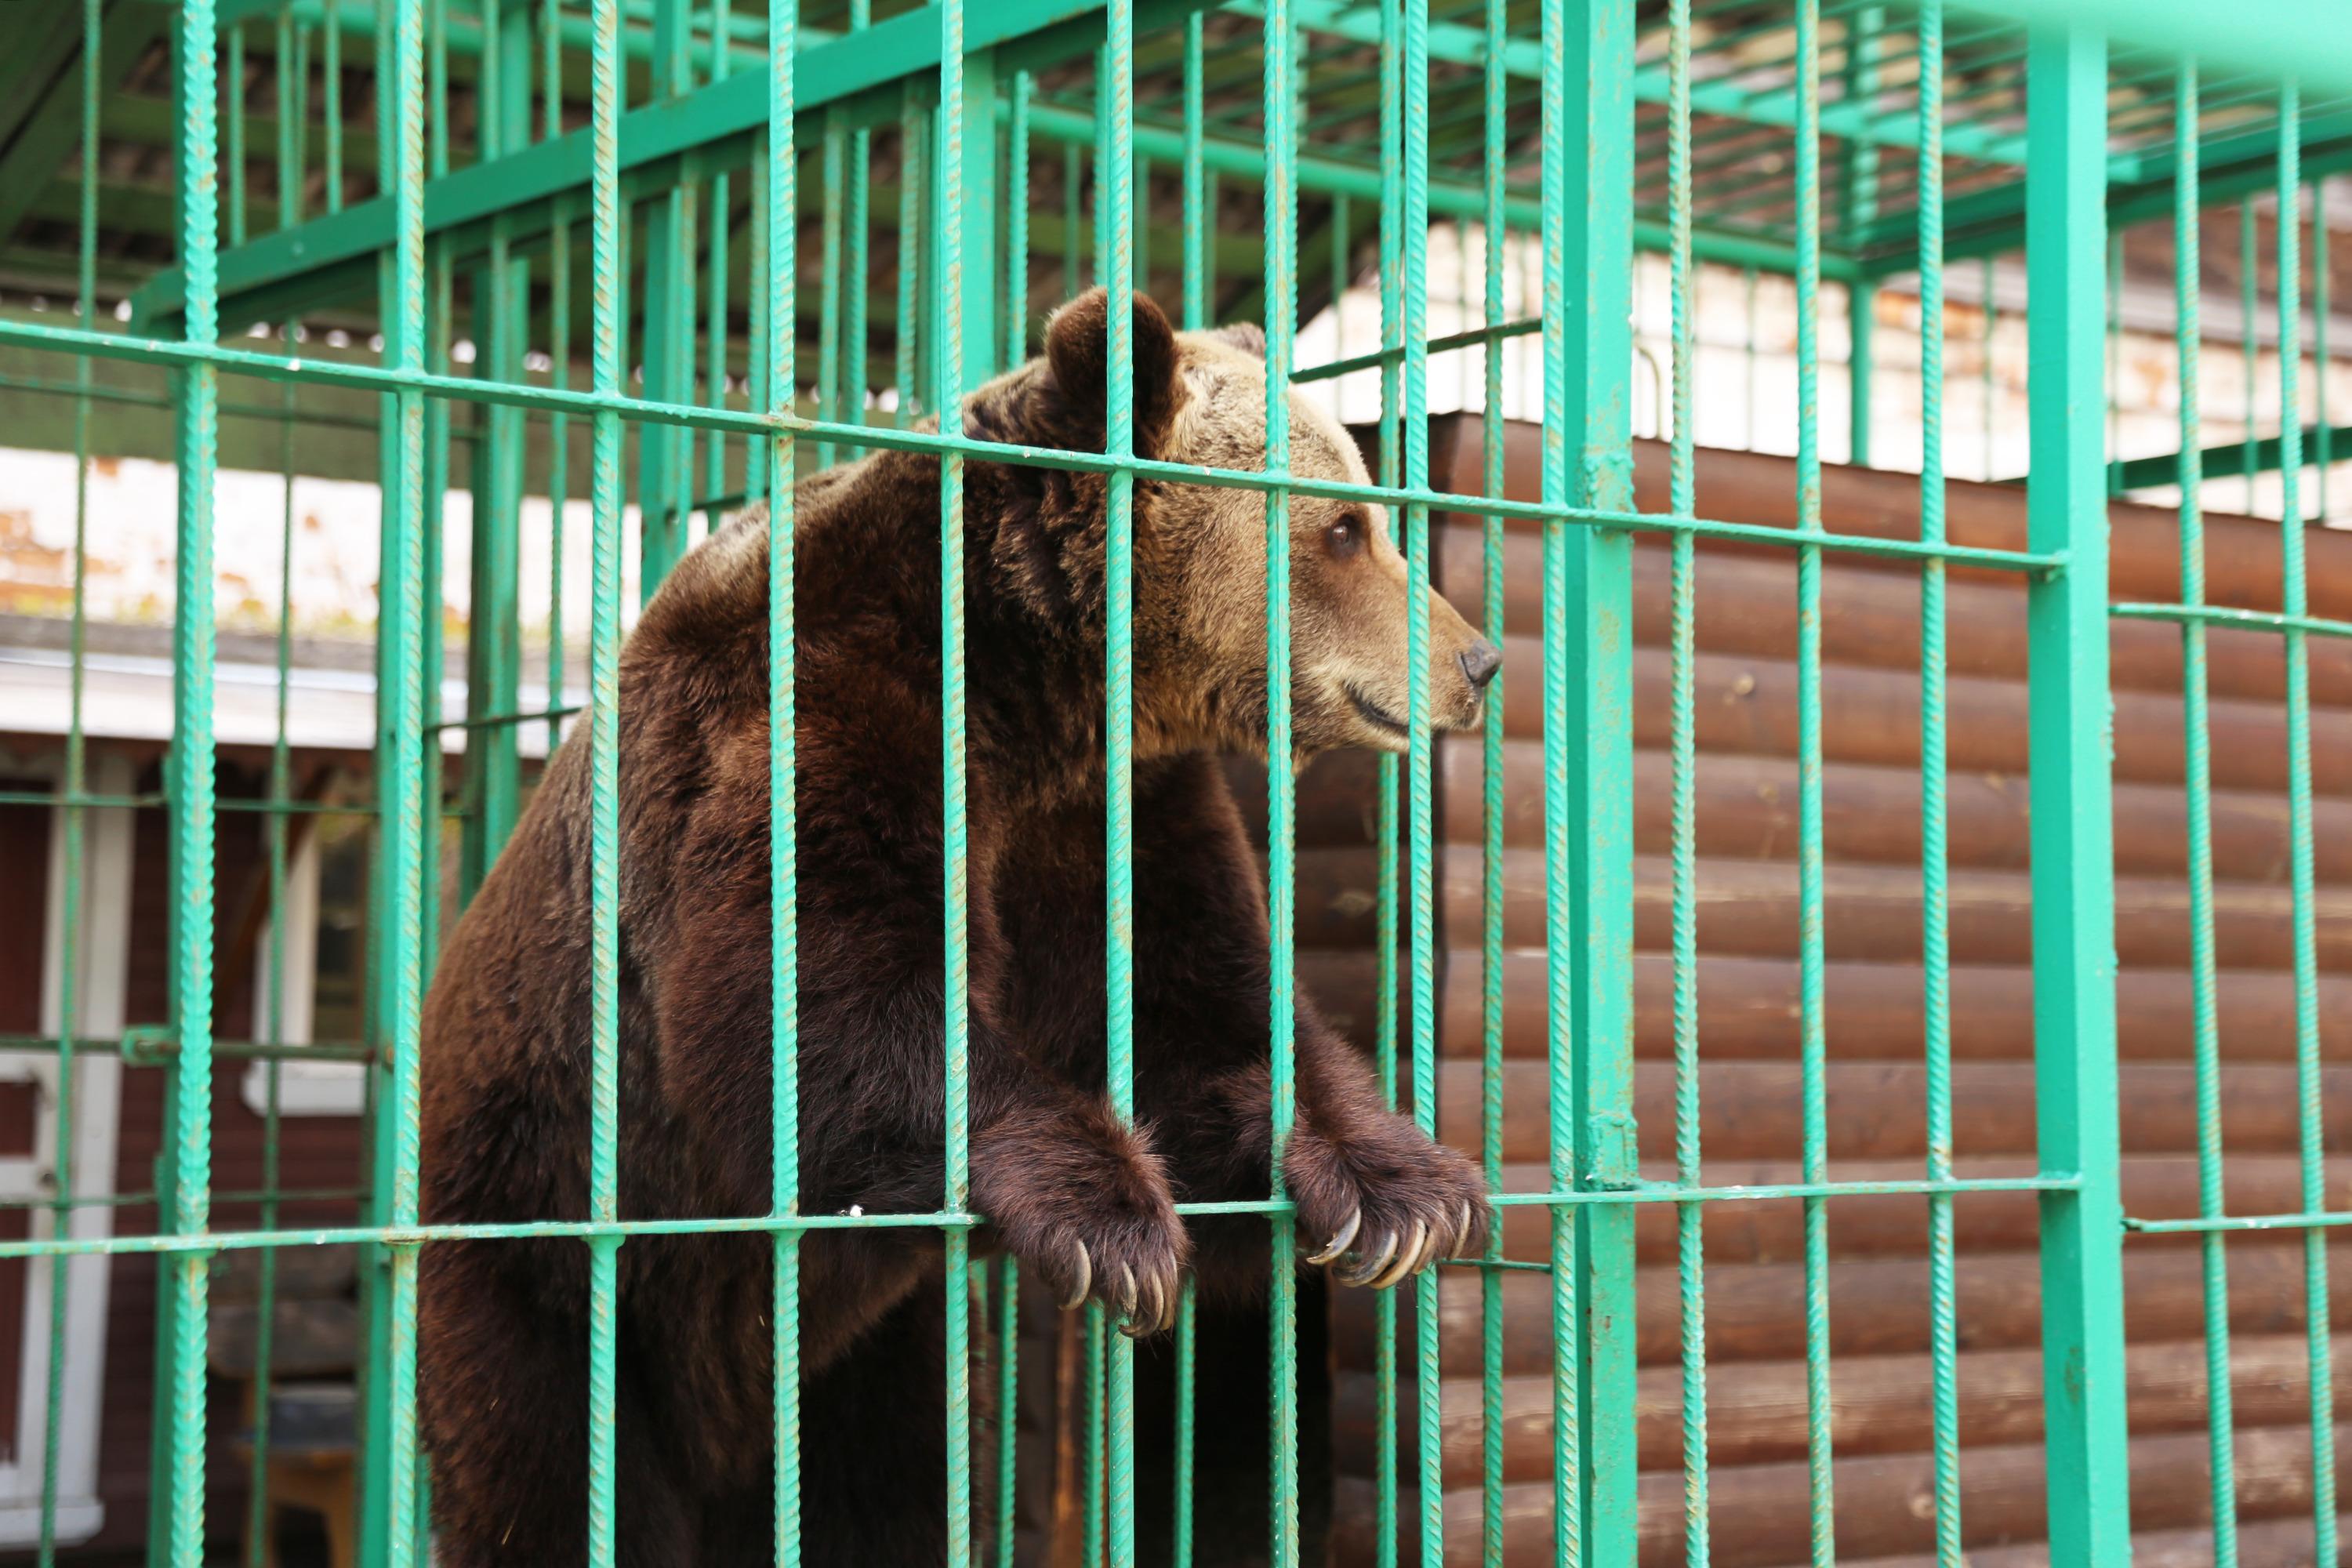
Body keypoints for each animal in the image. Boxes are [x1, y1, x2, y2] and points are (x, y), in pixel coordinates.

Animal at [414, 285, 1496, 1568]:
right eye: (1343, 529)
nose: (1477, 659)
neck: (1028, 678)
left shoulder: (1104, 818)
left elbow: (1198, 1017)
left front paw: (1406, 1190)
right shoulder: (811, 722)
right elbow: (811, 1009)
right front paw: (1110, 1220)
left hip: (868, 1350)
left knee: (890, 1486)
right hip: (548, 1231)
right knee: (546, 1466)